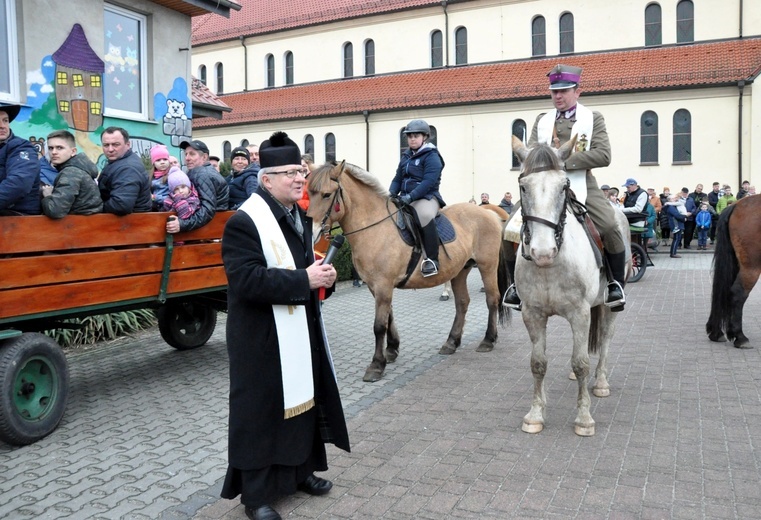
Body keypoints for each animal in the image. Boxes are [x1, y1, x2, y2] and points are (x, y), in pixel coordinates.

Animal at [306, 161, 508, 382]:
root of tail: (489, 213)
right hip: (460, 271)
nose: (312, 232)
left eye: (326, 194)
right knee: (462, 303)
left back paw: (488, 340)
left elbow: (379, 325)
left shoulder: (383, 285)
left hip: (487, 266)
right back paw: (451, 342)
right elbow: (389, 317)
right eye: (308, 192)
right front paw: (392, 350)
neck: (375, 227)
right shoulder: (375, 286)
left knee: (492, 299)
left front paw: (376, 365)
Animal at [510, 136, 628, 436]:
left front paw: (584, 418)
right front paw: (535, 414)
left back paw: (600, 382)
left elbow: (582, 361)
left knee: (605, 340)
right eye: (523, 186)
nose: (542, 251)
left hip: (608, 307)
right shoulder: (533, 314)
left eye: (564, 185)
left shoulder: (580, 312)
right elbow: (538, 363)